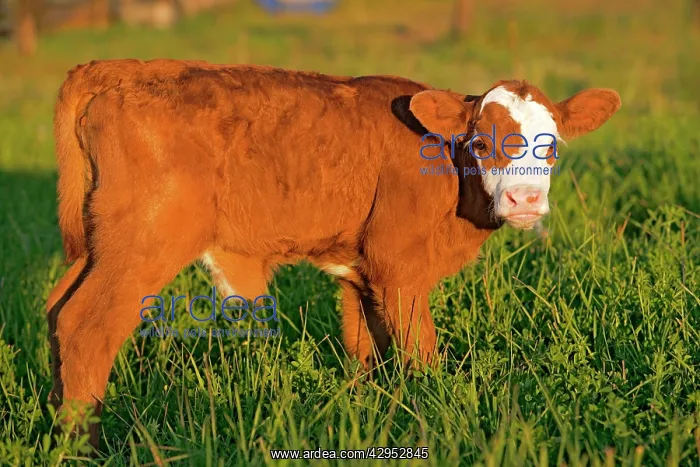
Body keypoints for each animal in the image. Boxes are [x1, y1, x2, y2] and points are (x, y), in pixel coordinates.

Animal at [46, 59, 621, 448]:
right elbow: (420, 353)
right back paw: (83, 445)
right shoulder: (399, 269)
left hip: (100, 245)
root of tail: (123, 68)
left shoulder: (361, 274)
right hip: (145, 244)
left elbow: (366, 353)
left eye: (551, 145)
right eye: (481, 142)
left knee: (55, 311)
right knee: (85, 326)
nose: (526, 200)